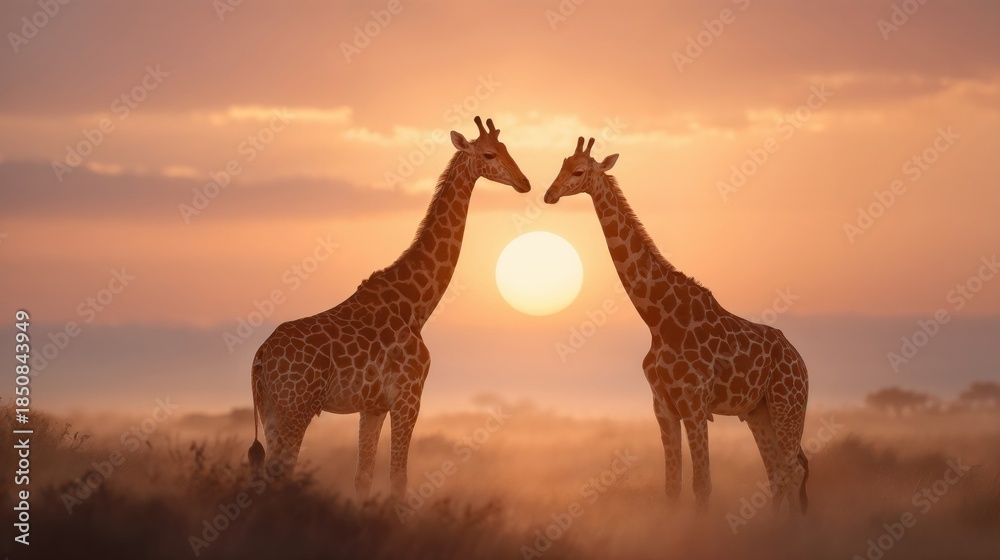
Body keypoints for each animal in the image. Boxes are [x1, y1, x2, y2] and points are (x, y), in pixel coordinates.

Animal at [247, 117, 530, 499]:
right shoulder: (409, 396)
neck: (415, 304)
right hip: (296, 408)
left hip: (272, 410)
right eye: (488, 154)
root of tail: (260, 358)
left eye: (506, 148)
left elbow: (363, 477)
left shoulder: (373, 406)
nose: (524, 182)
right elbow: (398, 478)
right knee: (283, 473)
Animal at [544, 137, 809, 514]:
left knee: (791, 471)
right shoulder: (663, 407)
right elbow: (672, 487)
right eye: (562, 164)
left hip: (788, 405)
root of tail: (800, 361)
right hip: (758, 412)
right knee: (776, 474)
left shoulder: (694, 404)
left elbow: (702, 485)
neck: (658, 319)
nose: (549, 194)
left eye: (579, 171)